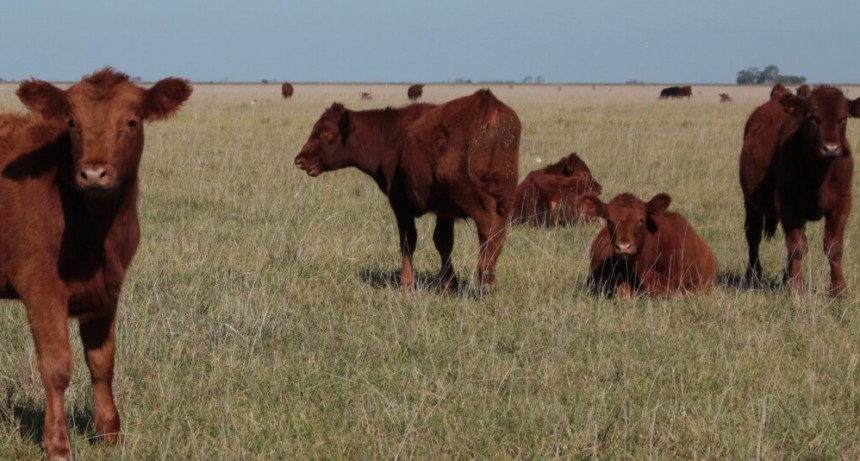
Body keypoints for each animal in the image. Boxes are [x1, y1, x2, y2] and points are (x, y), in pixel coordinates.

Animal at [0, 68, 191, 460]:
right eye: (72, 123)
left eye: (131, 122)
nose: (92, 174)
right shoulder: (41, 286)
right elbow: (57, 365)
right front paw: (58, 443)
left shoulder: (108, 288)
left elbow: (103, 361)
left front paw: (110, 434)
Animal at [295, 89, 520, 292]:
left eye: (325, 133)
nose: (300, 160)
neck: (390, 135)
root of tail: (488, 105)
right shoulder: (444, 211)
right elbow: (443, 242)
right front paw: (448, 285)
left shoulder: (400, 205)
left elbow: (408, 241)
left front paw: (405, 282)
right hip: (505, 196)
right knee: (499, 230)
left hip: (470, 195)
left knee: (487, 224)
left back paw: (486, 280)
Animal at [740, 85, 860, 296]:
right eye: (812, 117)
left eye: (843, 118)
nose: (831, 148)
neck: (820, 174)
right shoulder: (788, 205)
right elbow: (797, 246)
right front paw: (797, 288)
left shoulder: (842, 204)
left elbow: (834, 247)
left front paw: (839, 289)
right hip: (751, 203)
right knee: (753, 237)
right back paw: (754, 276)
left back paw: (785, 276)